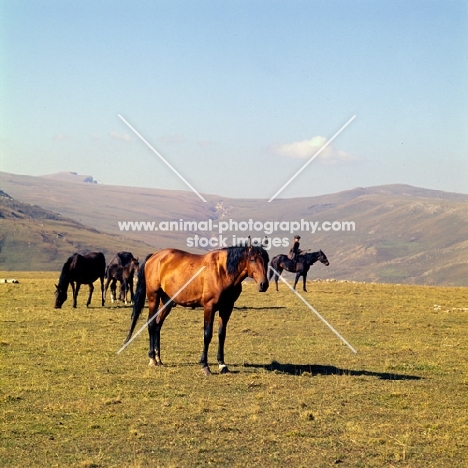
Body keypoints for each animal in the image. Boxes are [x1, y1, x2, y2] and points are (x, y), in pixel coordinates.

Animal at [125, 245, 270, 376]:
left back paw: (158, 358)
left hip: (167, 301)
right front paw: (205, 366)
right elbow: (207, 335)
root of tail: (154, 257)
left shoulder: (226, 308)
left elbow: (221, 335)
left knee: (157, 326)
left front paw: (222, 364)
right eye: (252, 259)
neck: (222, 272)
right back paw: (152, 359)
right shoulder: (209, 307)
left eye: (267, 260)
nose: (264, 284)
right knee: (151, 324)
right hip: (153, 297)